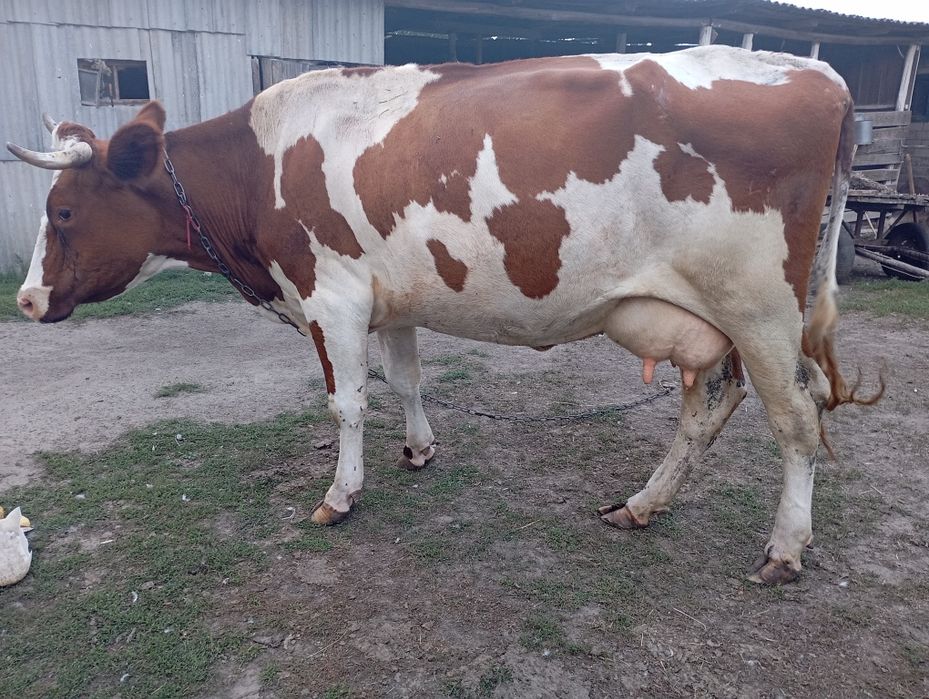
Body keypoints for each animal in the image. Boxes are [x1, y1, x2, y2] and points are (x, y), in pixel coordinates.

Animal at [9, 45, 879, 584]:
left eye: (63, 212)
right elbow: (406, 379)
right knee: (709, 405)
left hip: (759, 307)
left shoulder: (330, 295)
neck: (260, 167)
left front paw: (341, 494)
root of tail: (816, 73)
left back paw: (783, 550)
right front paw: (419, 449)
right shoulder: (388, 295)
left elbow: (347, 401)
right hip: (713, 319)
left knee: (796, 419)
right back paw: (640, 505)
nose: (25, 299)